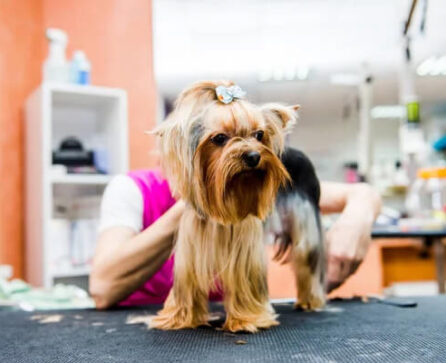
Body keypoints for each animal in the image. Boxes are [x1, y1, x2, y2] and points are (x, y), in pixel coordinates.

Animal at [150, 80, 324, 332]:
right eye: (219, 138)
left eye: (259, 134)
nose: (253, 156)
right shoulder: (191, 245)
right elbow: (187, 283)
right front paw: (179, 318)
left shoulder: (245, 244)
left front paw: (246, 319)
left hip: (305, 218)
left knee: (307, 258)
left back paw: (309, 301)